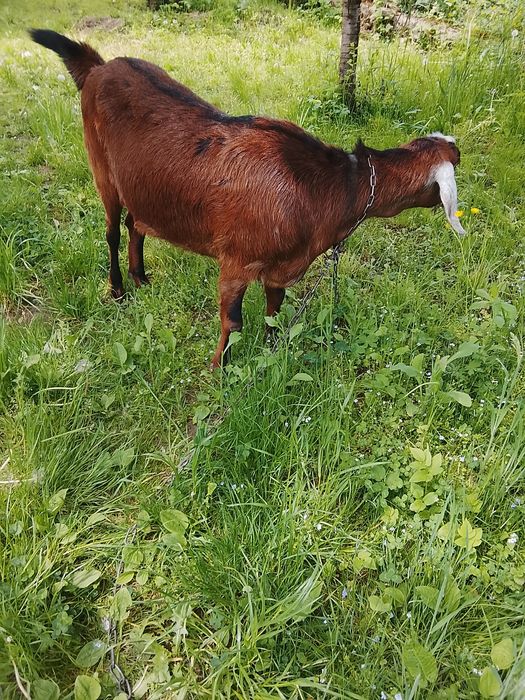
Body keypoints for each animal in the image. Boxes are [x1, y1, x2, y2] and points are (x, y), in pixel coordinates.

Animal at [30, 30, 466, 368]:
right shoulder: (235, 261)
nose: (458, 151)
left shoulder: (280, 267)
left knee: (136, 223)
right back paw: (119, 291)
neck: (320, 186)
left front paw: (271, 354)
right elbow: (233, 322)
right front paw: (218, 369)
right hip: (102, 169)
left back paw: (142, 279)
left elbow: (274, 313)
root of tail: (98, 67)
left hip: (142, 185)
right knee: (112, 232)